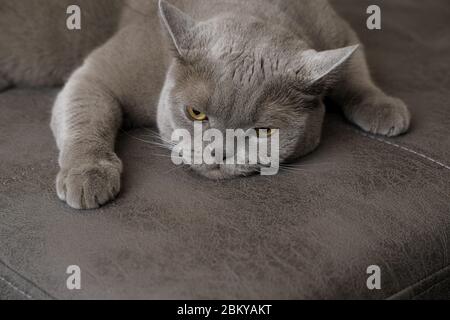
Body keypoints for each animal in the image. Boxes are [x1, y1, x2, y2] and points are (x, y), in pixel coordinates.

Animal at [0, 0, 410, 210]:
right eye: (195, 113)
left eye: (264, 131)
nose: (219, 153)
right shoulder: (98, 74)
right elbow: (86, 117)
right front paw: (87, 175)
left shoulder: (334, 28)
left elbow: (356, 70)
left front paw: (386, 109)